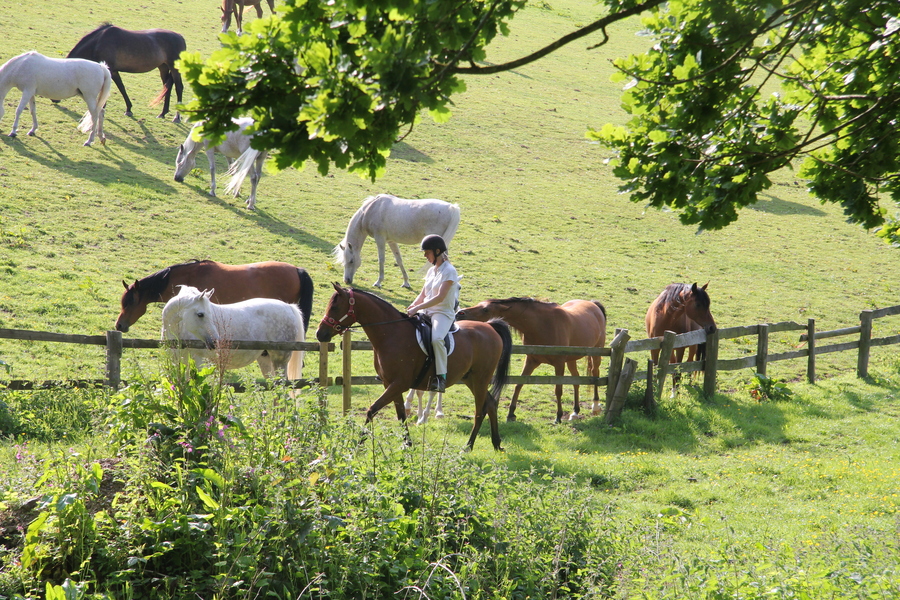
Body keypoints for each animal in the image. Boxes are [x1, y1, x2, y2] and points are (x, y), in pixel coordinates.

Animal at [161, 286, 304, 380]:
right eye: (200, 314)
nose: (216, 341)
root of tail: (289, 307)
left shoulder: (200, 364)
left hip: (280, 361)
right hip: (266, 360)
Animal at [315, 283, 512, 450]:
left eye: (334, 307)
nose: (320, 334)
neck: (391, 333)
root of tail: (490, 327)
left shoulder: (399, 383)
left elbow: (372, 410)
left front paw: (358, 445)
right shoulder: (390, 384)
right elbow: (401, 414)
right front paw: (407, 444)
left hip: (480, 380)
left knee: (480, 410)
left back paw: (468, 446)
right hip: (471, 379)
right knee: (491, 404)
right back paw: (496, 443)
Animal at [457, 297, 607, 423]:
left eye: (485, 309)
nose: (460, 313)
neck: (543, 324)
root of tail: (594, 305)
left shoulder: (559, 364)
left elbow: (558, 390)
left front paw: (558, 417)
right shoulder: (531, 361)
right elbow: (519, 384)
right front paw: (511, 414)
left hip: (596, 354)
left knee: (595, 374)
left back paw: (595, 406)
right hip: (571, 360)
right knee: (576, 380)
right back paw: (575, 412)